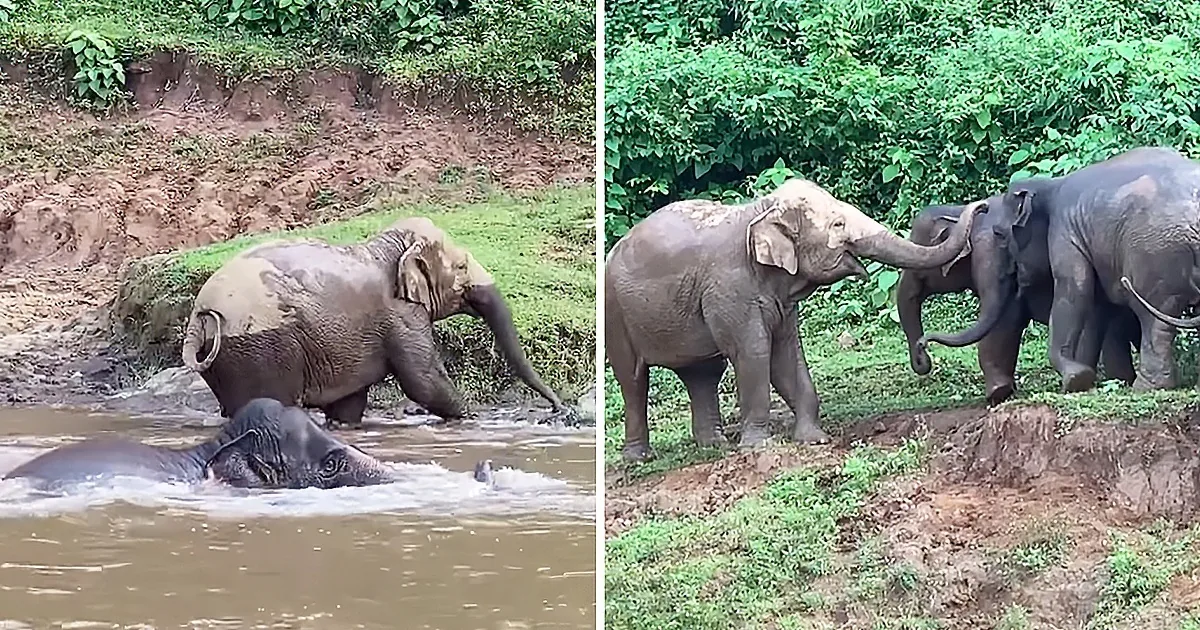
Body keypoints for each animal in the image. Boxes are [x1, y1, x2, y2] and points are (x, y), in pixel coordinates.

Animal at [180, 216, 576, 427]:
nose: (559, 409)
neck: (389, 246)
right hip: (261, 350)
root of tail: (200, 315)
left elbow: (350, 402)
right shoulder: (401, 315)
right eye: (462, 266)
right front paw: (471, 419)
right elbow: (424, 381)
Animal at [605, 177, 985, 462]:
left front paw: (814, 439)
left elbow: (786, 354)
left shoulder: (779, 301)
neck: (757, 210)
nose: (980, 206)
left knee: (702, 374)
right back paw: (640, 458)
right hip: (615, 312)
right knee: (634, 379)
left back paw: (714, 445)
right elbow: (755, 351)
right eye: (837, 224)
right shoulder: (731, 288)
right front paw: (760, 446)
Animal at [954, 146, 1200, 392]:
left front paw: (1075, 379)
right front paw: (1087, 377)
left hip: (1155, 254)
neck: (1050, 186)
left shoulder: (1064, 233)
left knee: (1154, 318)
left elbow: (1074, 293)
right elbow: (1096, 306)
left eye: (999, 234)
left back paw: (1146, 387)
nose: (981, 207)